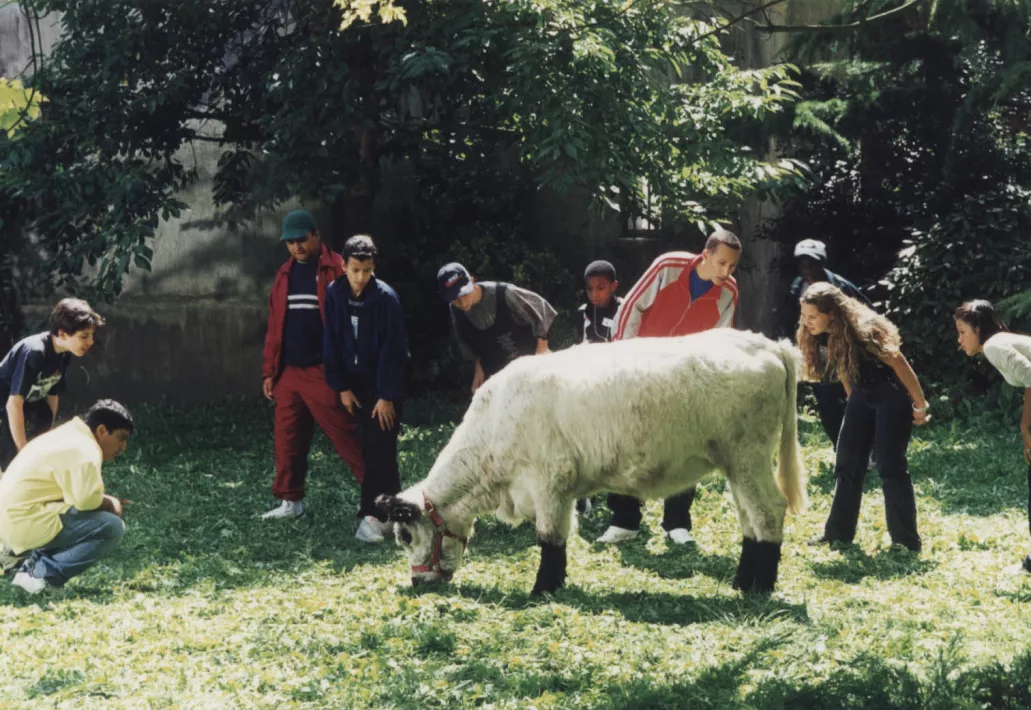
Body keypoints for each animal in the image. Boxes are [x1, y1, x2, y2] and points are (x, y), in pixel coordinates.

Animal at [376, 328, 806, 595]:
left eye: (405, 536)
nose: (418, 582)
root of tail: (765, 344)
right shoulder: (563, 491)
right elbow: (561, 538)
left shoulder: (549, 483)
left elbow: (549, 538)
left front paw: (541, 589)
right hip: (738, 466)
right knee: (750, 520)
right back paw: (743, 580)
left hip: (749, 457)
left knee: (769, 512)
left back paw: (761, 586)